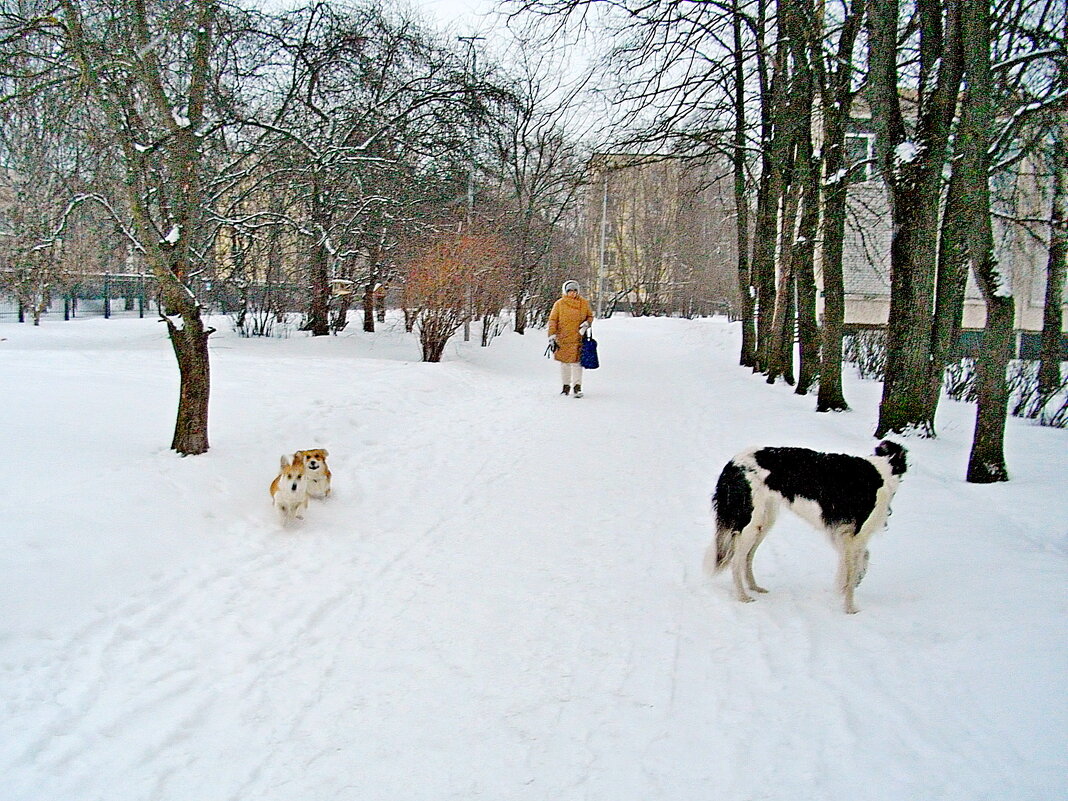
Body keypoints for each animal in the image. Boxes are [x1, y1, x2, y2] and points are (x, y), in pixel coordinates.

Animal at [704, 442, 905, 619]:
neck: (882, 470)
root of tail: (732, 463)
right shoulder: (853, 536)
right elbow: (852, 570)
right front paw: (850, 608)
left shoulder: (844, 536)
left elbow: (861, 560)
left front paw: (852, 583)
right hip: (750, 524)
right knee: (736, 561)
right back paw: (743, 597)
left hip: (764, 522)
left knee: (747, 558)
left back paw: (755, 587)